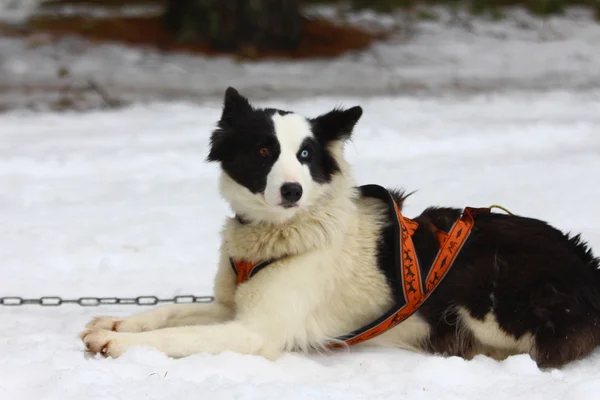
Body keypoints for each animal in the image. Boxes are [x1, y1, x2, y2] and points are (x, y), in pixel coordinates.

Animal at [82, 87, 600, 368]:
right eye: (264, 151)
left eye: (306, 154)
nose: (292, 190)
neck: (283, 231)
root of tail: (585, 262)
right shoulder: (233, 307)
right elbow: (172, 313)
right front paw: (117, 321)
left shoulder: (254, 332)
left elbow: (179, 336)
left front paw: (120, 341)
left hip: (485, 297)